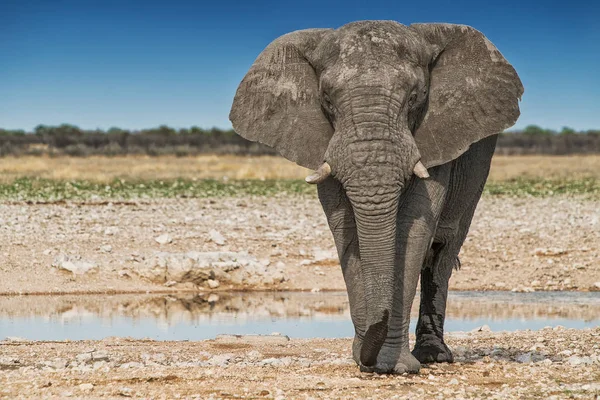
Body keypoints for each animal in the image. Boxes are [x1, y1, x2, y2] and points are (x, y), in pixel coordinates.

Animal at [227, 20, 524, 374]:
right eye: (326, 99)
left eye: (415, 97)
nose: (368, 358)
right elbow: (345, 226)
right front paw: (366, 360)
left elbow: (412, 231)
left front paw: (394, 365)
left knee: (443, 250)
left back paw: (434, 355)